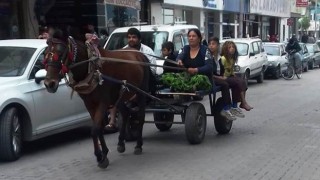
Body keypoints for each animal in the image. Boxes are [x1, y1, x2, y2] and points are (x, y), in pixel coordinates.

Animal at [42, 26, 151, 168]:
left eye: (60, 53)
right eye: (45, 54)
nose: (49, 84)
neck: (91, 68)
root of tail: (139, 54)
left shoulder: (103, 102)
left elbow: (95, 129)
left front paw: (100, 156)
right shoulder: (89, 103)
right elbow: (98, 128)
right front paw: (104, 153)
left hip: (141, 92)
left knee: (141, 116)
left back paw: (138, 145)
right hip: (119, 95)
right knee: (126, 113)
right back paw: (121, 143)